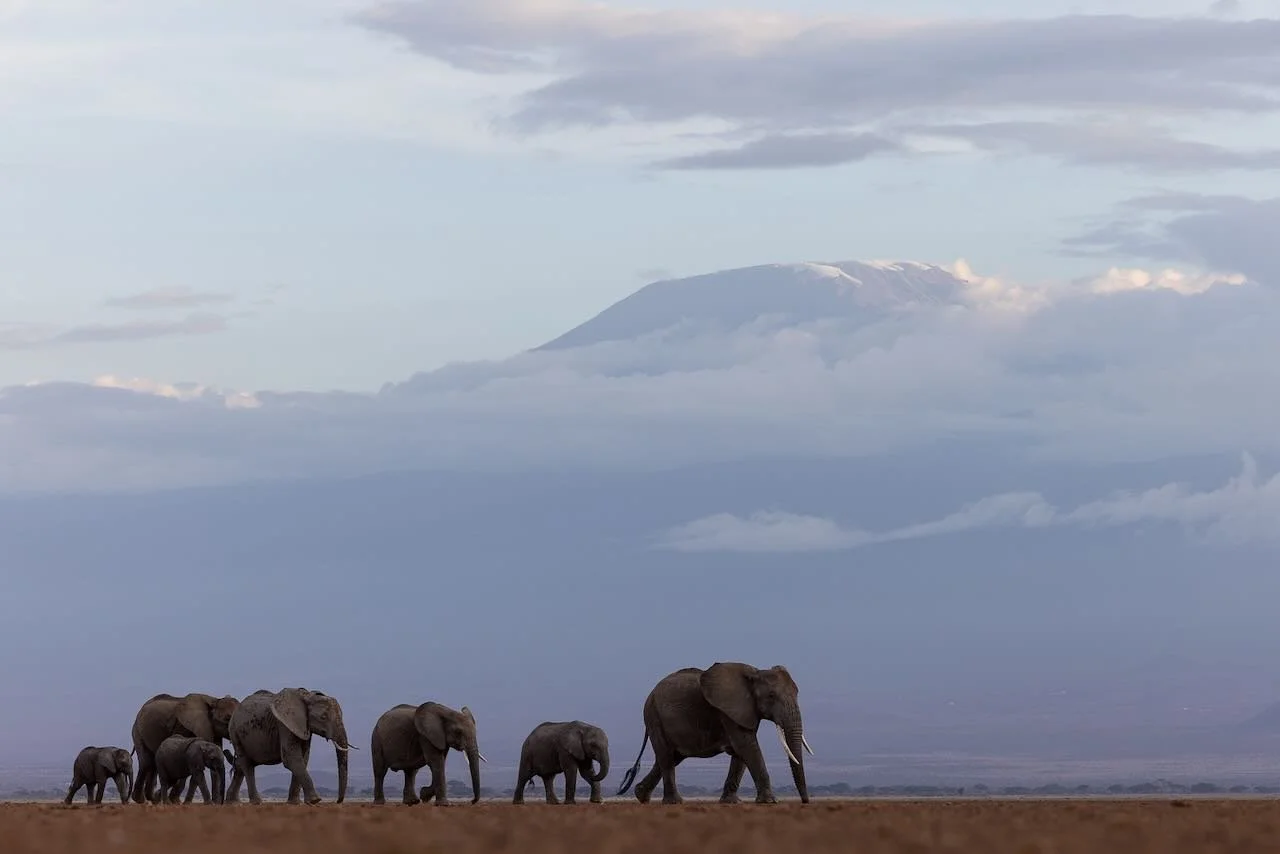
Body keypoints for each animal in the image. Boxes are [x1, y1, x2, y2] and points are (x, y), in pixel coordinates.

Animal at [225, 688, 354, 805]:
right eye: (323, 717)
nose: (338, 801)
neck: (307, 695)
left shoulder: (303, 727)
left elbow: (303, 758)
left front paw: (295, 803)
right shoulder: (284, 725)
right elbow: (291, 758)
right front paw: (315, 801)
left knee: (240, 765)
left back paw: (233, 802)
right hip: (235, 733)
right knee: (247, 765)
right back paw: (256, 802)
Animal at [616, 662, 814, 805]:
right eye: (772, 696)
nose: (805, 801)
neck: (755, 673)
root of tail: (650, 695)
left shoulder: (744, 712)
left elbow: (741, 753)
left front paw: (731, 802)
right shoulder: (727, 712)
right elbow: (746, 746)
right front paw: (770, 802)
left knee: (671, 758)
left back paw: (641, 795)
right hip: (654, 717)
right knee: (666, 757)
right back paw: (673, 802)